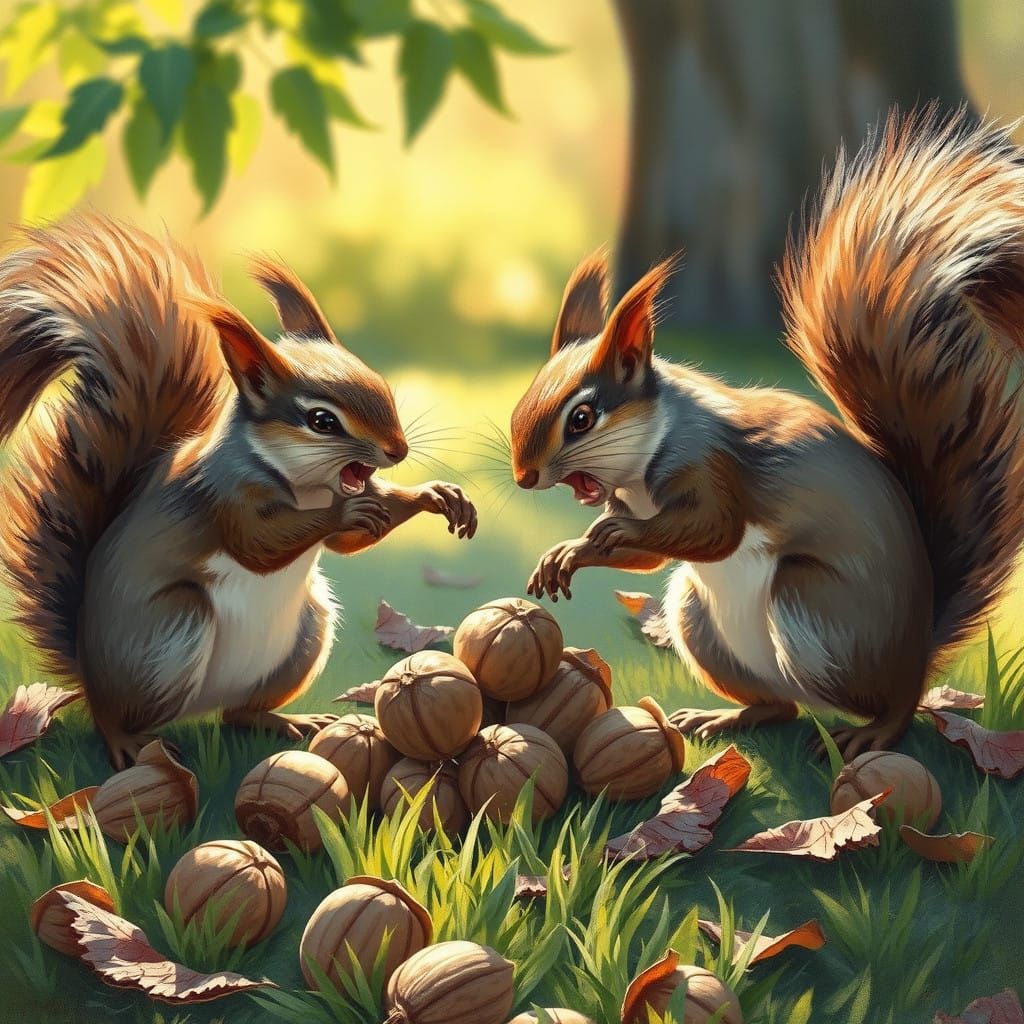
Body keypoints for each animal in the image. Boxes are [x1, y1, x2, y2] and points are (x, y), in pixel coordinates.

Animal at [0, 216, 477, 769]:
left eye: (380, 385)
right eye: (322, 421)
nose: (397, 450)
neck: (303, 483)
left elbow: (346, 544)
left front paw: (433, 495)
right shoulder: (223, 496)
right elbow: (259, 544)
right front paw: (349, 510)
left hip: (306, 632)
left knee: (237, 714)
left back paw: (284, 720)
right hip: (168, 633)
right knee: (113, 712)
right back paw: (124, 740)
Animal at [510, 110, 1024, 758]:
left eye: (581, 417)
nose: (523, 476)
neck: (649, 454)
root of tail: (916, 651)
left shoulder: (712, 465)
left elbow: (714, 530)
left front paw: (604, 535)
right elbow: (653, 558)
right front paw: (570, 551)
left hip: (814, 610)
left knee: (895, 703)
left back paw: (875, 730)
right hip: (698, 621)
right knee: (781, 706)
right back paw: (726, 717)